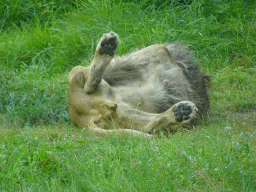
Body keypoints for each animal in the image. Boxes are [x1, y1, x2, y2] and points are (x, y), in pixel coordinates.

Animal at [68, 31, 210, 136]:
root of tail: (80, 122)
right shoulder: (158, 49)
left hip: (124, 114)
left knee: (150, 127)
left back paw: (180, 112)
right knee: (88, 82)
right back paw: (106, 46)